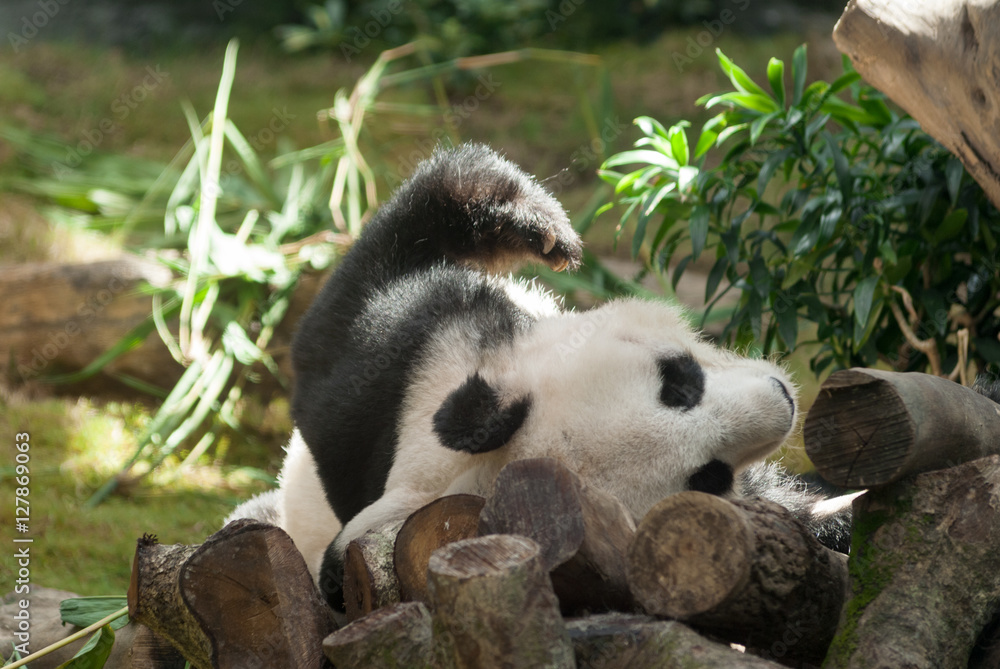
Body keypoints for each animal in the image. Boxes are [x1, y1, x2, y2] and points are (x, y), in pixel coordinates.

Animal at [229, 143, 857, 609]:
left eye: (678, 384)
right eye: (708, 477)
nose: (781, 401)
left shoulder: (389, 365)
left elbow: (366, 284)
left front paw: (539, 228)